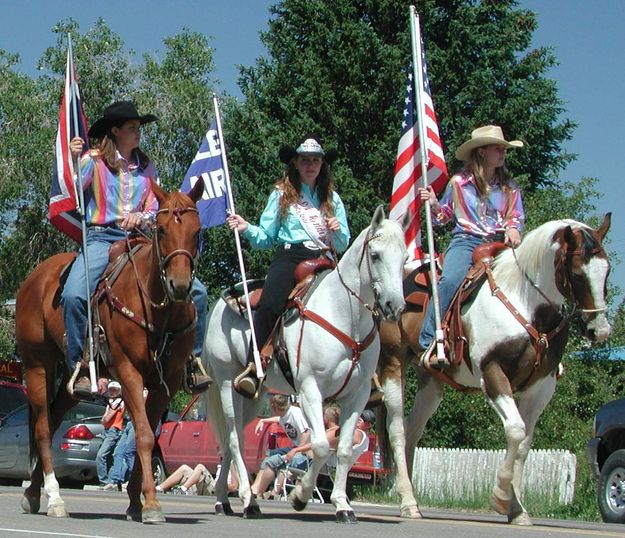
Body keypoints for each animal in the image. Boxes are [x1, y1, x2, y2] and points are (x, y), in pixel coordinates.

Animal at [14, 179, 204, 520]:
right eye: (162, 230)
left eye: (197, 231)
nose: (180, 286)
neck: (157, 308)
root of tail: (35, 278)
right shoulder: (128, 373)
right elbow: (143, 434)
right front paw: (151, 504)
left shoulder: (165, 383)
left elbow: (146, 434)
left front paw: (136, 503)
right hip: (37, 365)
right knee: (43, 429)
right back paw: (55, 498)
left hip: (71, 381)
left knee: (54, 418)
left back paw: (33, 493)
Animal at [205, 204, 408, 520]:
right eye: (375, 255)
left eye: (405, 258)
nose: (394, 306)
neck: (344, 314)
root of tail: (218, 305)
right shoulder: (311, 388)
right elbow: (322, 445)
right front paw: (300, 496)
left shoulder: (358, 394)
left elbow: (344, 450)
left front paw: (343, 506)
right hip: (227, 381)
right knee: (235, 438)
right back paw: (248, 501)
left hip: (252, 395)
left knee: (229, 437)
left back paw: (223, 500)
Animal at [376, 214, 608, 520]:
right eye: (579, 274)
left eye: (607, 272)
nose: (600, 330)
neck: (524, 302)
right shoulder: (493, 373)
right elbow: (516, 430)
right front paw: (500, 497)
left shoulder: (541, 386)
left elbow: (524, 443)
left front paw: (517, 509)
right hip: (393, 364)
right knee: (397, 430)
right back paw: (406, 502)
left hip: (431, 382)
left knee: (412, 430)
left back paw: (410, 497)